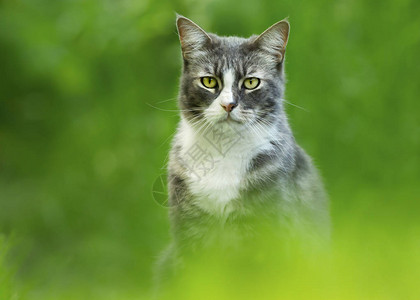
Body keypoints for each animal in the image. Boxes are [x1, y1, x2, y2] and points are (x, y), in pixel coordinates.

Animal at [156, 15, 330, 284]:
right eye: (209, 81)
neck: (223, 152)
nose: (229, 104)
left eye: (251, 82)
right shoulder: (189, 230)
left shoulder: (268, 234)